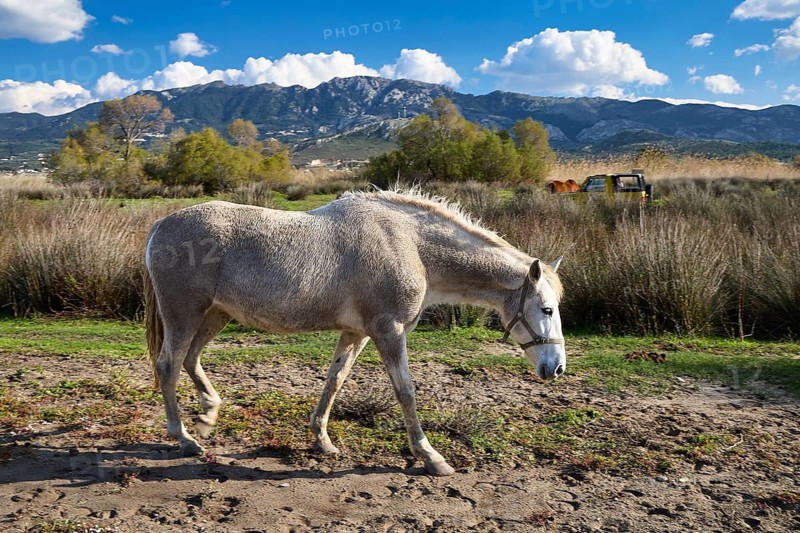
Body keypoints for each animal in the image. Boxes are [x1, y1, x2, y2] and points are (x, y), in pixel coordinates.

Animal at [143, 190, 566, 476]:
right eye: (546, 309)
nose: (556, 367)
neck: (410, 244)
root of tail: (159, 226)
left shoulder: (355, 333)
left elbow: (335, 380)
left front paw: (322, 439)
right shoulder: (389, 330)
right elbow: (406, 392)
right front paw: (430, 456)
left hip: (215, 315)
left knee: (191, 358)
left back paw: (208, 414)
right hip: (184, 314)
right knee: (169, 365)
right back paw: (184, 438)